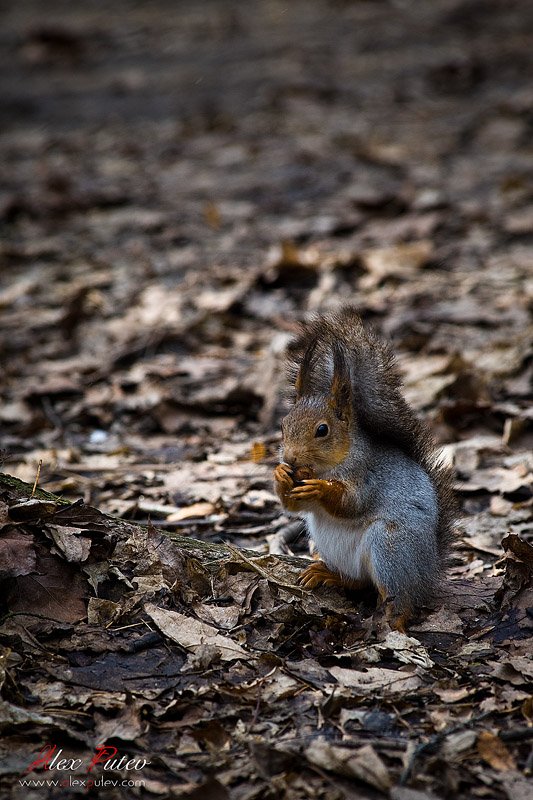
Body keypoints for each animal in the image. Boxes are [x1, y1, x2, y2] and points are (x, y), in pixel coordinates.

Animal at [274, 306, 454, 632]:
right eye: (283, 424)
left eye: (322, 430)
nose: (291, 459)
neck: (329, 465)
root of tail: (429, 572)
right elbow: (292, 504)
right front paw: (280, 476)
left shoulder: (368, 474)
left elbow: (352, 503)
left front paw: (322, 489)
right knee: (359, 584)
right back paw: (328, 574)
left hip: (391, 548)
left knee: (400, 596)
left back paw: (396, 621)